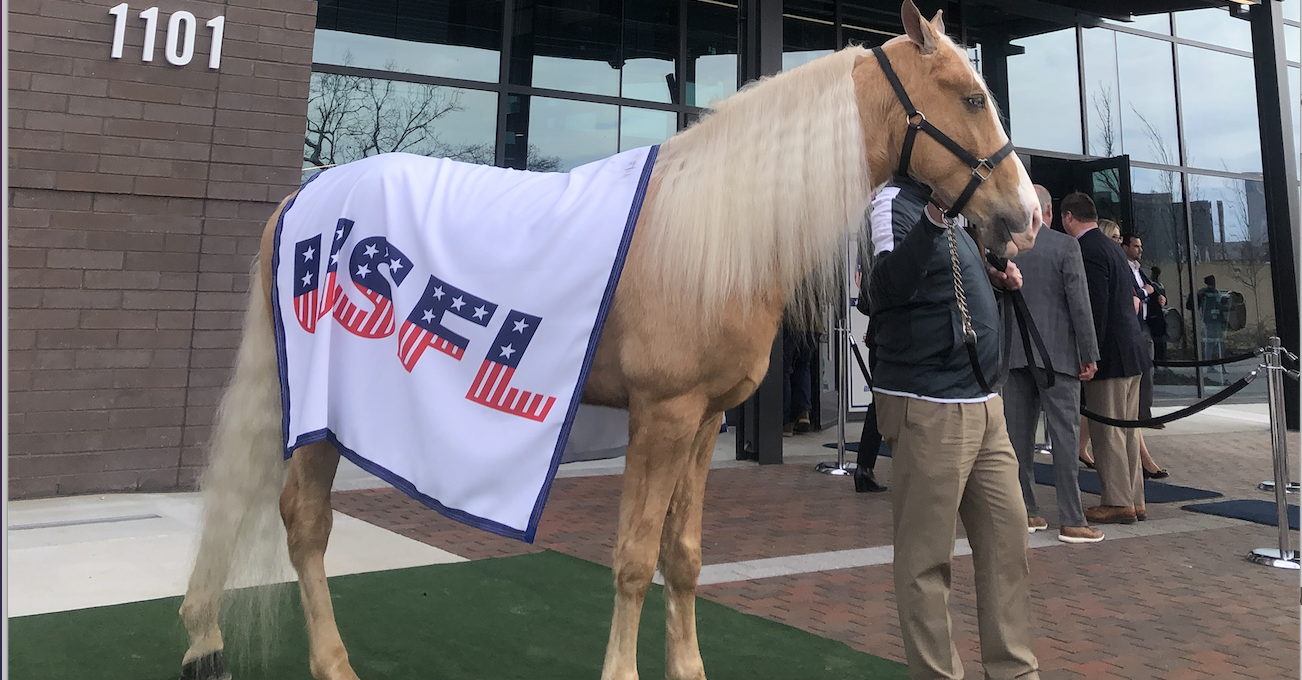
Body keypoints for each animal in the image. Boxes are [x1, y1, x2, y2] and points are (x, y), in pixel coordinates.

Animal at [178, 2, 1041, 672]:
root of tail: (303, 198)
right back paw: (325, 661)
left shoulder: (702, 423)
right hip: (323, 405)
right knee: (302, 520)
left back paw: (204, 640)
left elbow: (682, 558)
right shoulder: (660, 416)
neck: (713, 233)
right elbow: (632, 558)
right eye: (971, 97)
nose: (1026, 218)